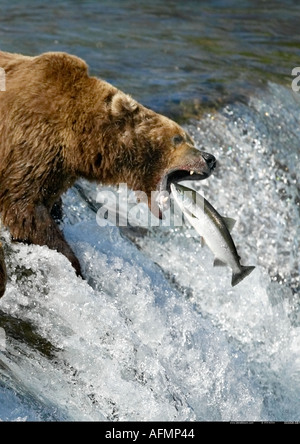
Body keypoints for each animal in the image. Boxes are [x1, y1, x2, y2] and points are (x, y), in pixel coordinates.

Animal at [0, 50, 216, 290]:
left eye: (190, 138)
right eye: (178, 138)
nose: (209, 158)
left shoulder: (57, 168)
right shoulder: (32, 140)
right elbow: (24, 208)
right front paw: (72, 261)